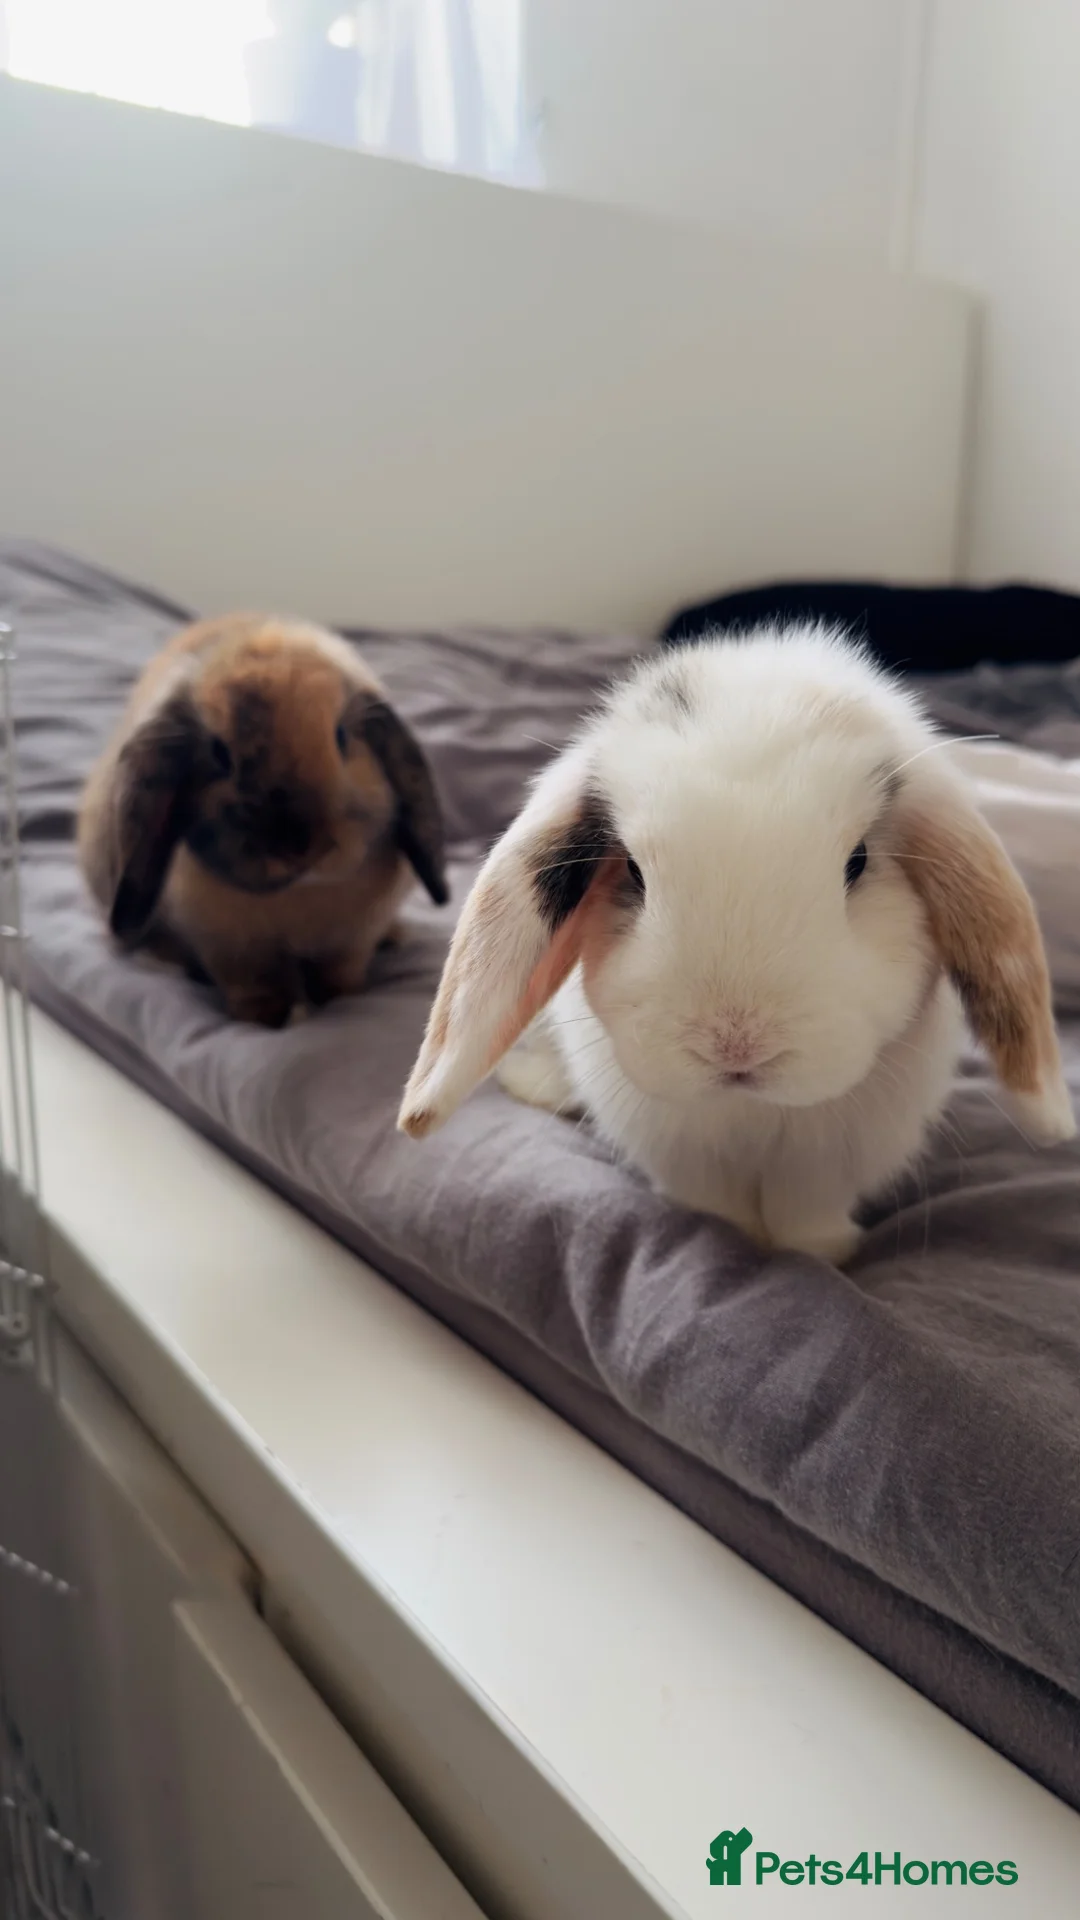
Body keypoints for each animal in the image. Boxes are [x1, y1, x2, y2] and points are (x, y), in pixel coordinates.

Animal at [79, 613, 448, 1026]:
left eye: (341, 737)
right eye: (219, 754)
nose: (302, 846)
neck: (300, 893)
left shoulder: (352, 940)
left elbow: (341, 974)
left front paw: (341, 999)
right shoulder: (232, 951)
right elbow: (255, 986)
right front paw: (270, 1018)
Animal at [399, 625, 1075, 1265]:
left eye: (857, 862)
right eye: (635, 874)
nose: (736, 1046)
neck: (754, 1110)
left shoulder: (827, 1166)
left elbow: (807, 1217)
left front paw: (823, 1254)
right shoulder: (681, 1151)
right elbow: (715, 1208)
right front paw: (737, 1240)